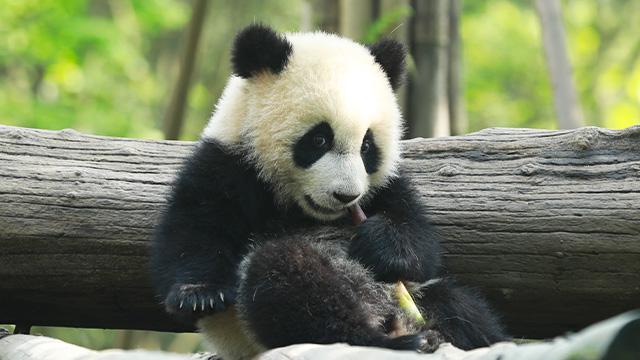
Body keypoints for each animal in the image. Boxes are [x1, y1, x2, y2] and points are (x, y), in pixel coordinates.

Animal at [150, 23, 504, 358]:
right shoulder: (225, 164)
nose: (346, 196)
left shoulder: (387, 185)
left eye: (367, 147)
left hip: (419, 296)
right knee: (294, 286)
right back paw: (397, 340)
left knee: (461, 306)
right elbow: (193, 228)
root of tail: (390, 317)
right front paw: (199, 294)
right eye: (319, 139)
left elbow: (420, 242)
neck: (303, 210)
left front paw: (380, 243)